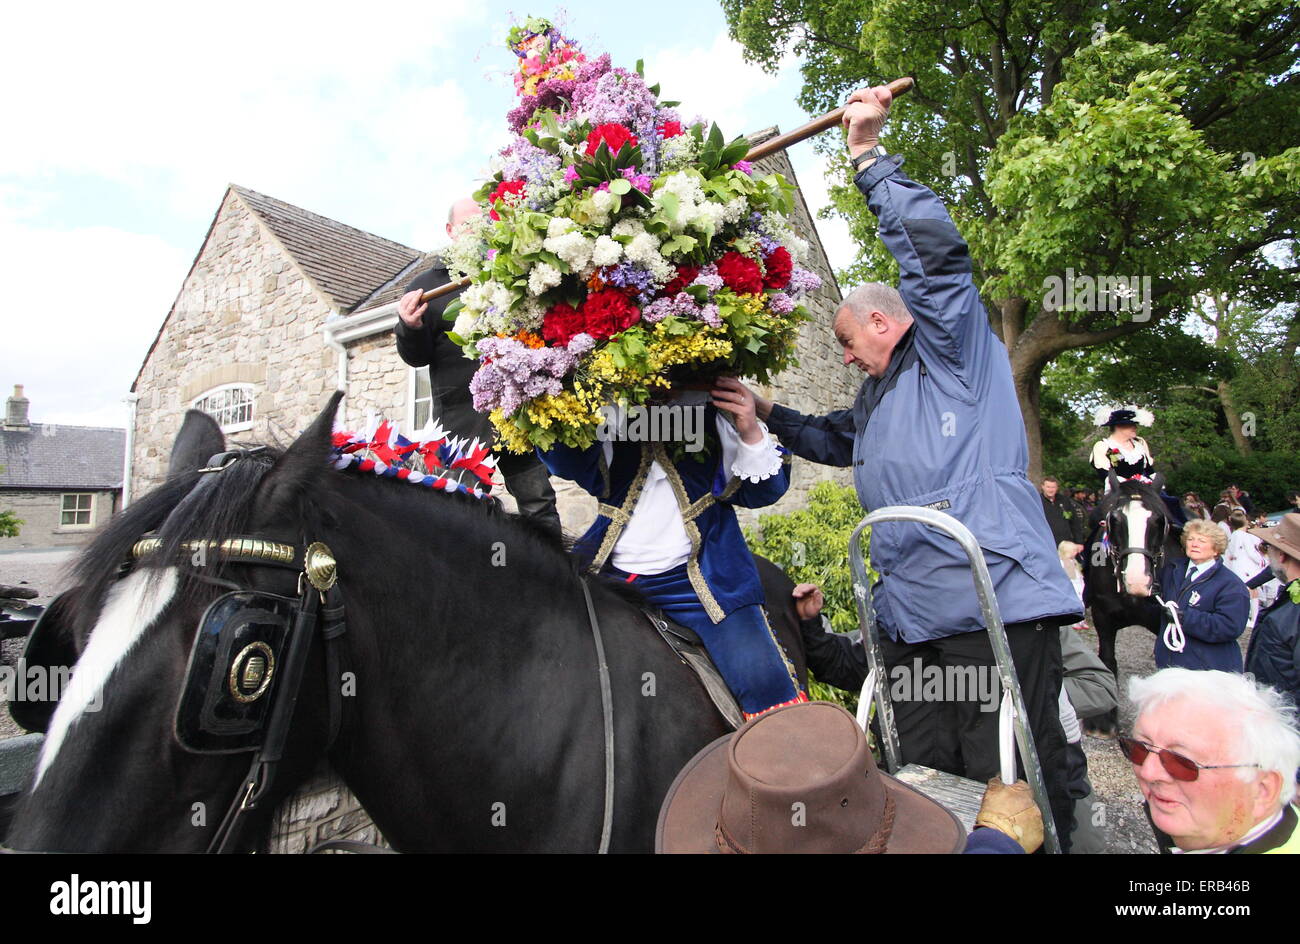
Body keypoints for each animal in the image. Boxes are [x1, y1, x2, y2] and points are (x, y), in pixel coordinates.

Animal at [1076, 473, 1180, 738]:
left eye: (1158, 520)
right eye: (1114, 519)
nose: (1137, 580)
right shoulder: (1103, 616)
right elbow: (1107, 660)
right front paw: (1102, 721)